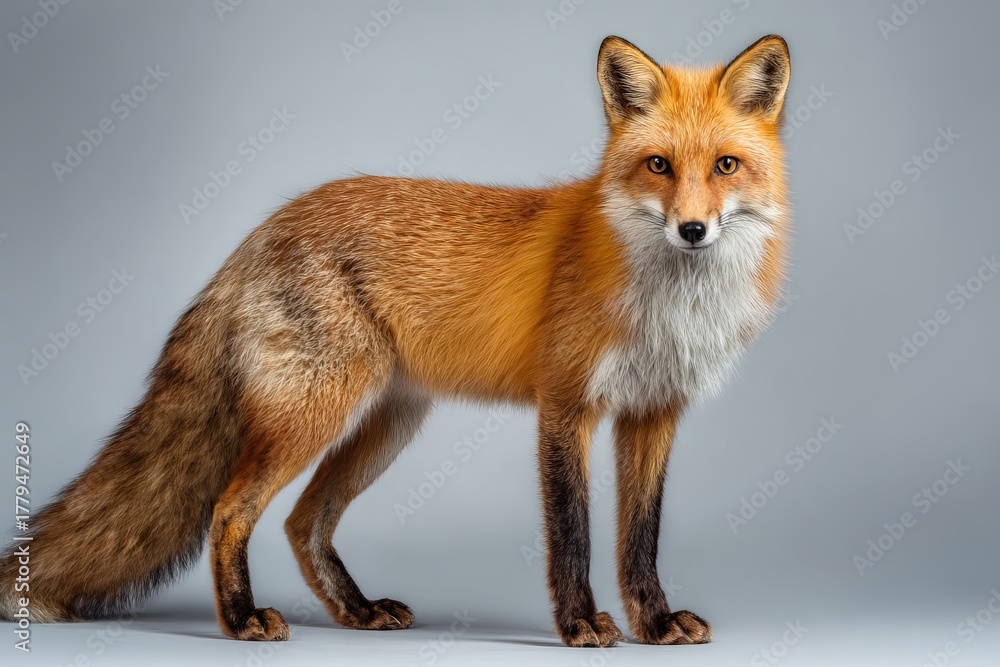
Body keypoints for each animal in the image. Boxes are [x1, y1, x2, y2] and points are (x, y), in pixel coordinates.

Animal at [0, 34, 791, 647]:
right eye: (659, 165)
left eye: (725, 165)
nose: (693, 229)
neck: (671, 303)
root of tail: (264, 229)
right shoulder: (566, 406)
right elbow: (573, 534)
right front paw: (578, 624)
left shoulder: (654, 413)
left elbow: (640, 539)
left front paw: (653, 624)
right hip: (314, 413)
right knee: (231, 510)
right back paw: (240, 619)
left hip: (388, 424)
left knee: (302, 522)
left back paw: (354, 610)